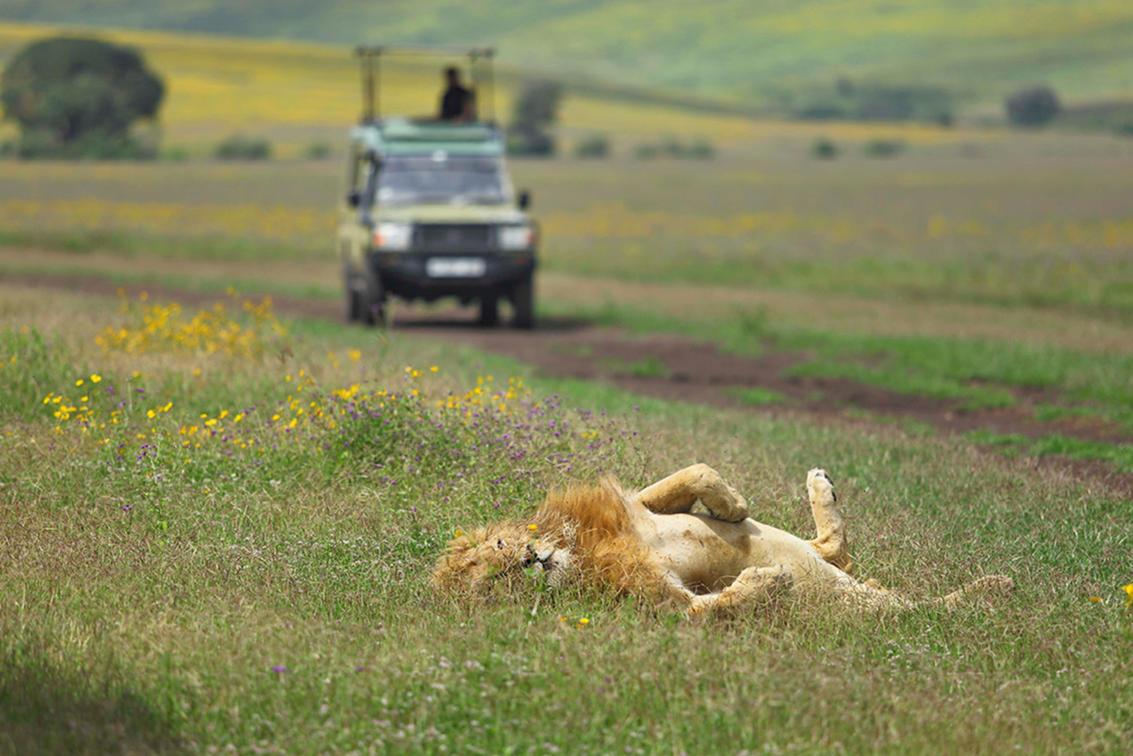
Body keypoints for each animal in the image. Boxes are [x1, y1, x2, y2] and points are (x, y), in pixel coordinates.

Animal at [428, 464, 1015, 616]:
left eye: (498, 553)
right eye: (493, 586)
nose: (530, 559)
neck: (579, 552)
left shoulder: (638, 508)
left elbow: (693, 475)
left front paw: (732, 504)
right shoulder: (666, 605)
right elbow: (712, 607)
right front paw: (767, 581)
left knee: (834, 547)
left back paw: (820, 484)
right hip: (862, 606)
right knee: (921, 609)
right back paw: (994, 587)